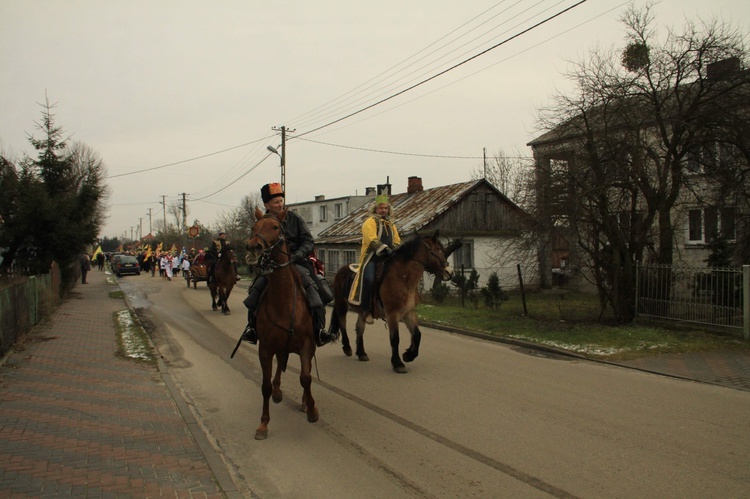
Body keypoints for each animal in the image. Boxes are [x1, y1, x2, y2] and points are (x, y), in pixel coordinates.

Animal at [245, 209, 318, 440]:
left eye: (275, 227)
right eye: (254, 227)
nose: (253, 247)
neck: (283, 301)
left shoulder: (306, 345)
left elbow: (306, 378)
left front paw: (312, 410)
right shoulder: (266, 347)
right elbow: (265, 386)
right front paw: (263, 424)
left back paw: (304, 402)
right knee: (279, 364)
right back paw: (278, 392)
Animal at [330, 232, 458, 374]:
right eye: (436, 251)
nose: (449, 272)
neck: (403, 278)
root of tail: (341, 270)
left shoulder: (409, 312)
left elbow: (417, 334)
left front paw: (409, 355)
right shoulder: (392, 314)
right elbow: (395, 339)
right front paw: (398, 363)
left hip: (361, 311)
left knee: (359, 328)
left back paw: (361, 353)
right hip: (341, 304)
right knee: (343, 324)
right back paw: (347, 348)